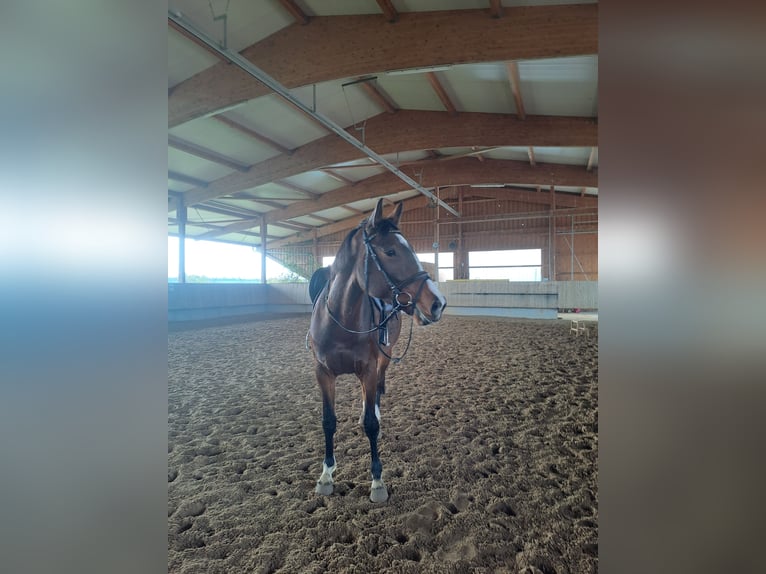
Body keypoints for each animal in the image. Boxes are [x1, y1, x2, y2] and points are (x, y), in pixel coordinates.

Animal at [307, 198, 447, 502]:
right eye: (390, 251)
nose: (438, 302)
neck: (342, 321)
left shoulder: (369, 370)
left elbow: (371, 423)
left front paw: (377, 482)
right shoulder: (323, 373)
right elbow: (328, 421)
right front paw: (326, 475)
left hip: (384, 358)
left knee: (377, 395)